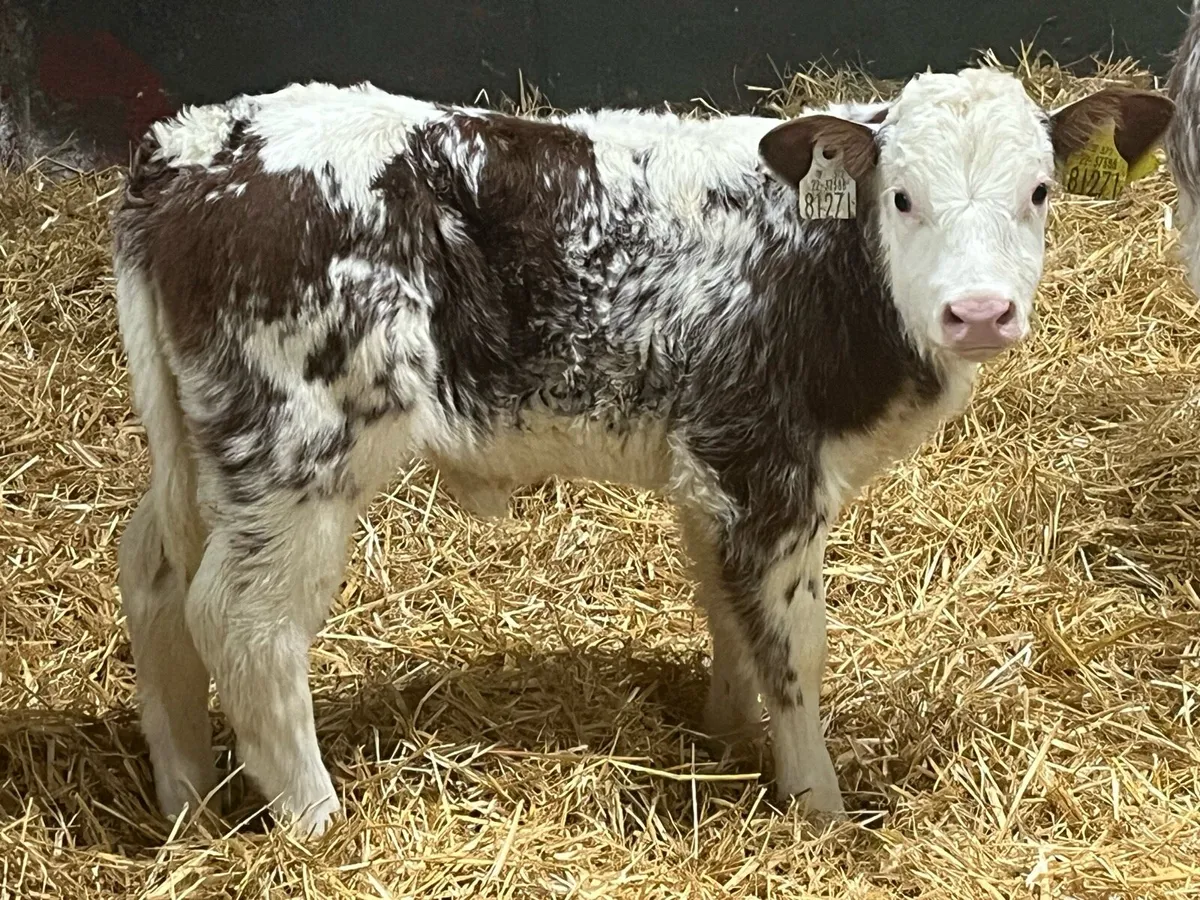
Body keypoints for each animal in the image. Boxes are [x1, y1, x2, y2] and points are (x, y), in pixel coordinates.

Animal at [110, 66, 1172, 837]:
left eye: (1040, 191)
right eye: (902, 197)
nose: (980, 311)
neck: (829, 267)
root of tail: (192, 145)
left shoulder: (711, 469)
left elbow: (729, 612)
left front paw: (727, 735)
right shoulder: (766, 465)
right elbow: (796, 643)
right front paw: (819, 806)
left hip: (207, 450)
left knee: (153, 571)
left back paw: (187, 802)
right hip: (301, 449)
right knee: (245, 623)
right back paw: (317, 825)